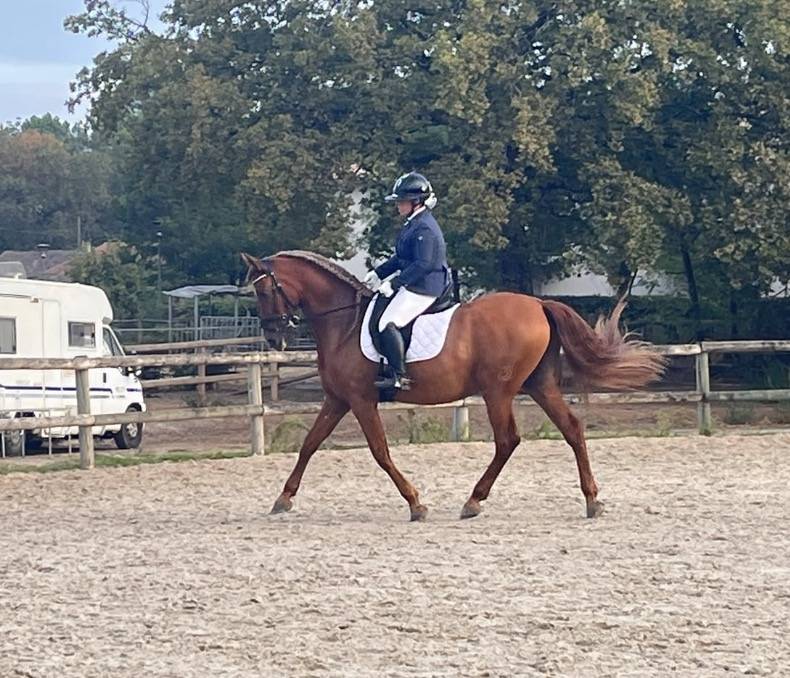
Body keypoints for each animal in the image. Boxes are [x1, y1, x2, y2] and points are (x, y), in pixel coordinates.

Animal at [241, 250, 665, 522]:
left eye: (263, 291)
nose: (273, 338)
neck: (343, 322)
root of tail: (538, 304)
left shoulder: (361, 401)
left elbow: (380, 452)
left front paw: (416, 504)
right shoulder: (337, 399)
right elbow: (309, 445)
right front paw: (283, 498)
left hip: (498, 391)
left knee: (508, 440)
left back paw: (474, 501)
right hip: (538, 385)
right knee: (572, 429)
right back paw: (592, 500)